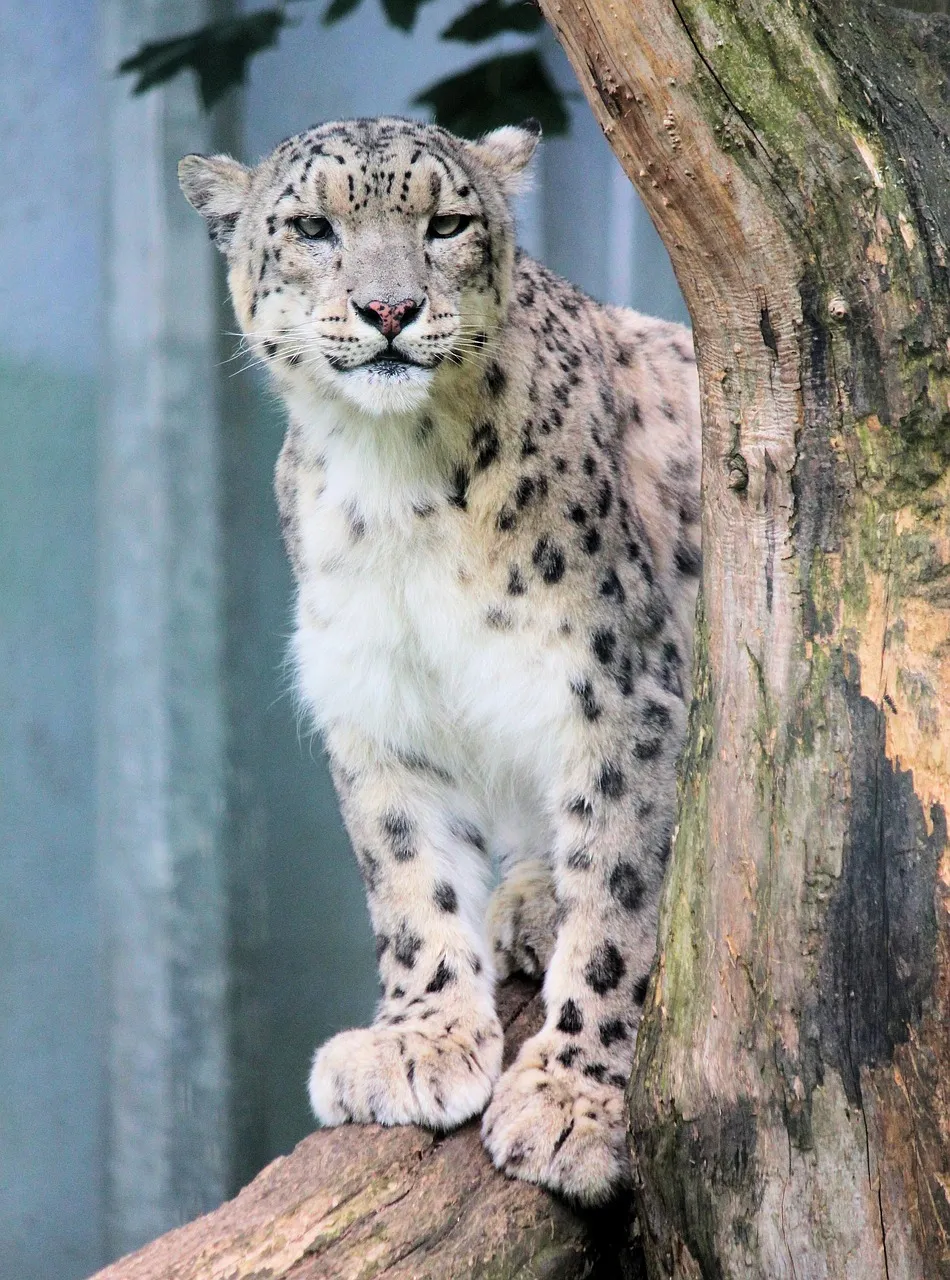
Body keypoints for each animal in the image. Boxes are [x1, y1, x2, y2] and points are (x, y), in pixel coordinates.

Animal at [179, 115, 701, 1205]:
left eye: (448, 223)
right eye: (313, 226)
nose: (389, 308)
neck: (393, 483)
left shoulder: (618, 687)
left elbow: (619, 899)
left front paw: (572, 1098)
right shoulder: (379, 698)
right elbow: (411, 878)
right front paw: (417, 1042)